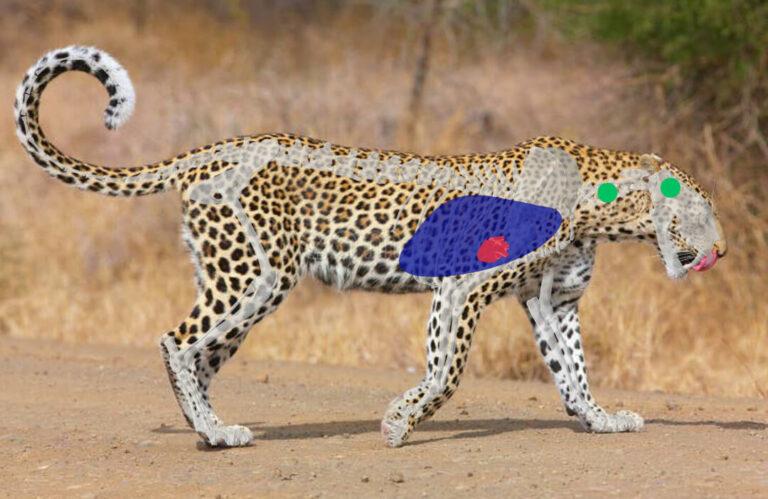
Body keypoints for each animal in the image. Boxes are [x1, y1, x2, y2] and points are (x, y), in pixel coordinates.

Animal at [14, 46, 727, 448]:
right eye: (701, 208)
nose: (722, 251)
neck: (597, 206)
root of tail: (216, 147)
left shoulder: (553, 301)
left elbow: (573, 370)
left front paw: (600, 419)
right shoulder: (462, 288)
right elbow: (447, 371)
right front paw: (399, 422)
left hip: (239, 280)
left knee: (203, 355)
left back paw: (213, 430)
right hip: (253, 275)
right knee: (178, 342)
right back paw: (213, 432)